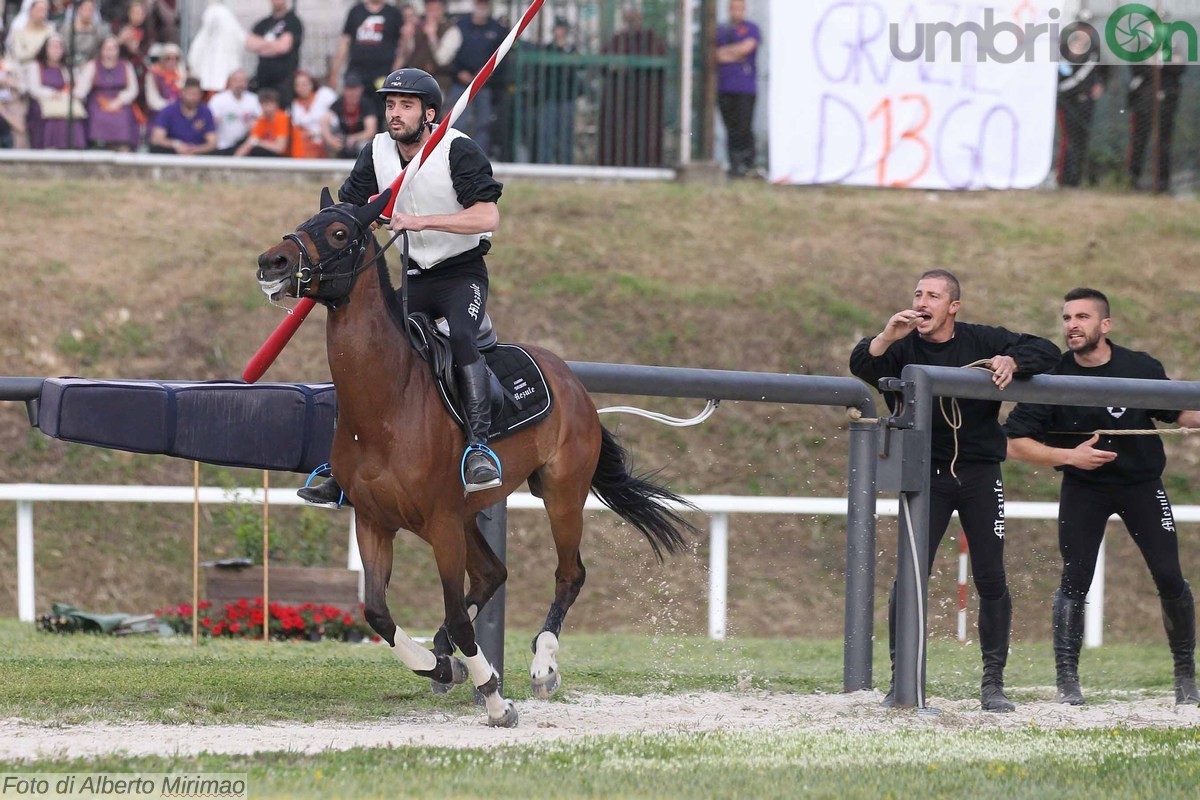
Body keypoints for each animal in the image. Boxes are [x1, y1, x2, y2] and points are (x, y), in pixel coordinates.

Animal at [258, 190, 700, 729]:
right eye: (306, 221)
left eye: (340, 233)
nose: (272, 262)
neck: (390, 401)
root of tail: (571, 379)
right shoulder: (374, 522)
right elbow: (378, 612)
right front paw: (437, 664)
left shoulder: (442, 525)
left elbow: (454, 613)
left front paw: (493, 696)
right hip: (471, 515)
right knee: (492, 574)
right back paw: (447, 653)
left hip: (560, 495)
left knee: (568, 574)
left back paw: (543, 665)